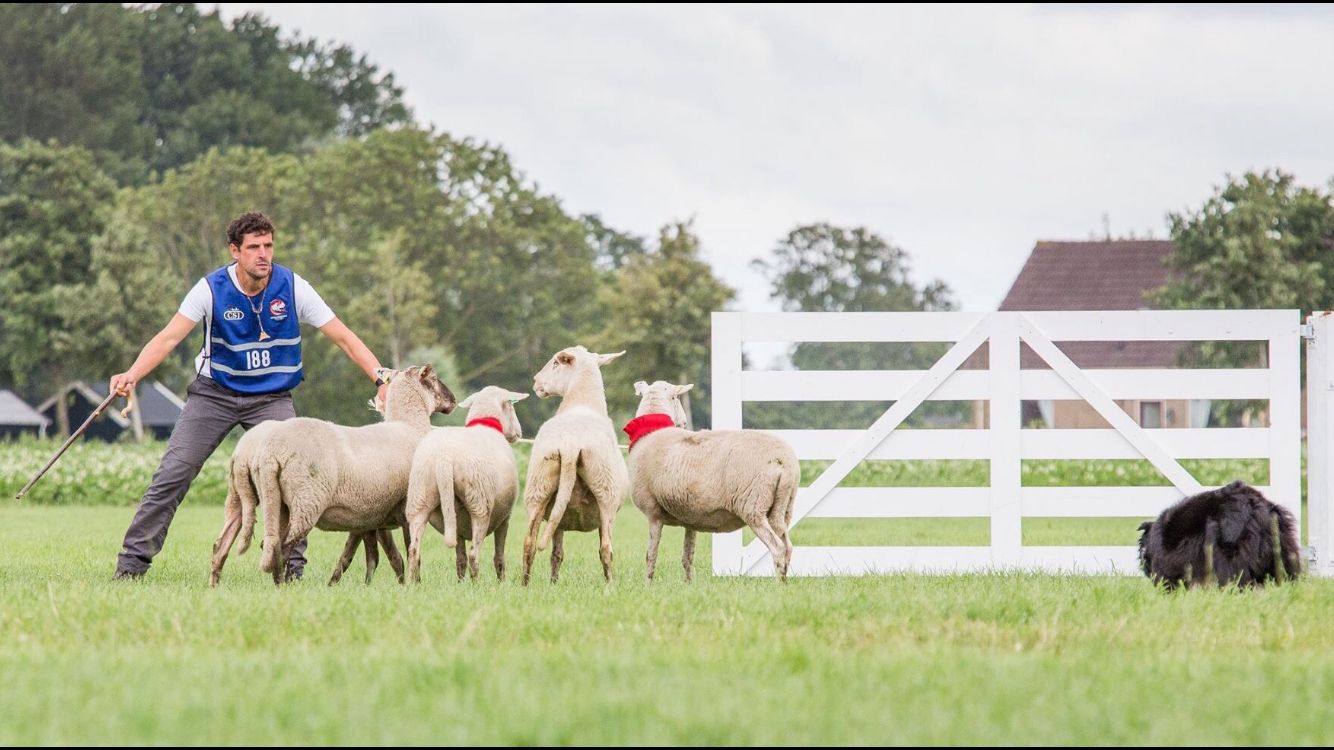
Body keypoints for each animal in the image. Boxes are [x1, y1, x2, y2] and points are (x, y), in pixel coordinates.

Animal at [221, 365, 456, 581]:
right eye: (435, 378)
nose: (453, 400)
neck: (409, 424)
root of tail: (272, 452)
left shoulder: (370, 515)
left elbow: (370, 556)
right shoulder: (406, 507)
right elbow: (410, 551)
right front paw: (413, 583)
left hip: (278, 503)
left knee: (269, 544)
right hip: (307, 501)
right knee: (284, 546)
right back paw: (283, 586)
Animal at [402, 384, 528, 584]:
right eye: (511, 406)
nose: (519, 432)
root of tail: (445, 455)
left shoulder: (459, 525)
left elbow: (459, 559)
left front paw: (460, 583)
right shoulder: (505, 517)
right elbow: (499, 556)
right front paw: (501, 582)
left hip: (419, 496)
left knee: (414, 550)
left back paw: (412, 584)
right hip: (480, 502)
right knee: (474, 555)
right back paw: (476, 585)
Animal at [517, 344, 626, 584]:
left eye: (556, 363)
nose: (536, 381)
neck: (581, 402)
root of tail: (570, 444)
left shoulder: (559, 517)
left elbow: (556, 554)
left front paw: (553, 583)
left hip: (538, 488)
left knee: (529, 544)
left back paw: (524, 585)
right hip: (606, 495)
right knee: (606, 549)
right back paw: (611, 585)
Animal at [621, 379, 795, 579]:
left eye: (675, 397)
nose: (685, 423)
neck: (651, 433)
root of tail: (784, 460)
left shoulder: (653, 512)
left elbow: (650, 556)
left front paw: (648, 584)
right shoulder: (690, 516)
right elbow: (687, 557)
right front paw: (689, 583)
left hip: (753, 505)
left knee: (778, 548)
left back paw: (778, 583)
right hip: (782, 507)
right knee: (788, 546)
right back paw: (785, 583)